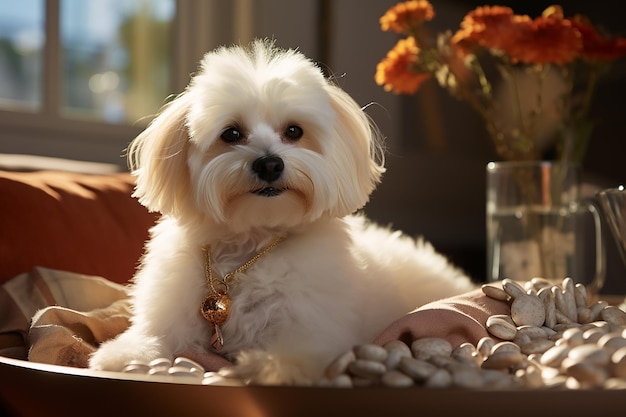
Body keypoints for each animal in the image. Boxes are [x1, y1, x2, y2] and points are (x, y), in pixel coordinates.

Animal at [88, 39, 472, 384]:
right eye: (231, 134)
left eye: (294, 131)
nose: (270, 164)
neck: (251, 245)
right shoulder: (173, 317)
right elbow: (154, 339)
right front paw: (123, 355)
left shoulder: (311, 333)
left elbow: (292, 357)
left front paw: (265, 368)